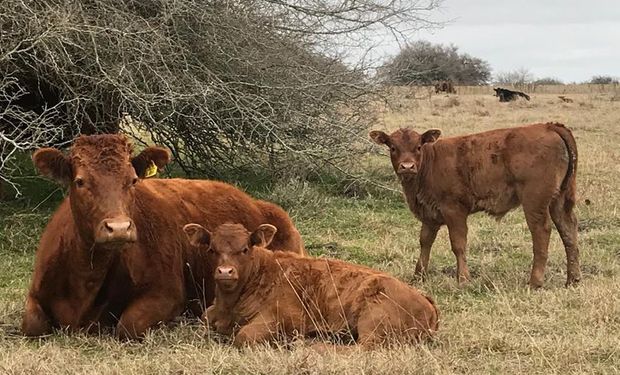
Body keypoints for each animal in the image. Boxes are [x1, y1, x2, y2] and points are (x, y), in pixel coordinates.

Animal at [22, 134, 306, 340]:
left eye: (133, 180)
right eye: (80, 181)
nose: (119, 227)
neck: (85, 281)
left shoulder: (166, 294)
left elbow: (128, 326)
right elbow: (32, 325)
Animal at [184, 223, 440, 350]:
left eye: (245, 249)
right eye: (212, 249)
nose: (225, 272)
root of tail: (425, 299)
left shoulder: (287, 319)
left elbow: (243, 336)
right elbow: (203, 322)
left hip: (374, 322)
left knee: (361, 349)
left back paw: (312, 344)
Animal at [372, 123, 580, 288]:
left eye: (418, 146)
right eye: (392, 147)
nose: (407, 167)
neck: (430, 164)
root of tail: (548, 126)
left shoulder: (454, 210)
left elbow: (458, 244)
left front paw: (463, 279)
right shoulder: (430, 215)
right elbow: (425, 242)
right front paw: (418, 276)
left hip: (534, 201)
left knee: (541, 232)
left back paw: (535, 281)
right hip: (560, 199)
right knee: (568, 231)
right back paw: (572, 280)